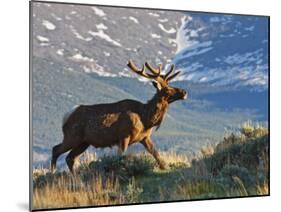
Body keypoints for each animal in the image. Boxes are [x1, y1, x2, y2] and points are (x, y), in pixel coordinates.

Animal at [50, 59, 186, 172]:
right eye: (167, 89)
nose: (184, 92)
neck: (146, 119)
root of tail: (66, 116)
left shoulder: (145, 137)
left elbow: (156, 153)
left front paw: (165, 167)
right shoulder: (123, 136)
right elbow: (120, 157)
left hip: (84, 142)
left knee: (70, 158)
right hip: (72, 136)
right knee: (56, 149)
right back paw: (52, 172)